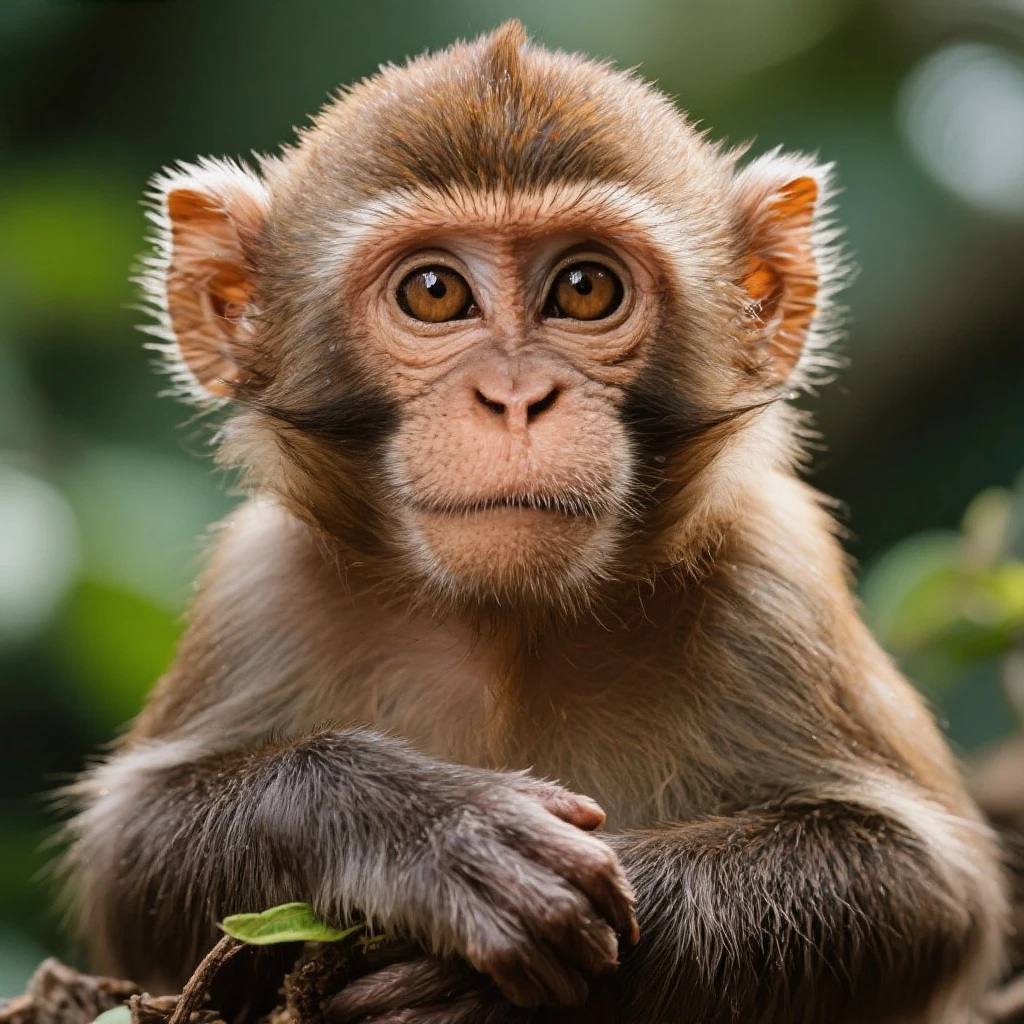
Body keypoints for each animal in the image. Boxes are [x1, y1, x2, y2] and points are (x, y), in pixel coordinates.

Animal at [62, 20, 1010, 1024]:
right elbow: (128, 863)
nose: (515, 399)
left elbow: (923, 888)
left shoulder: (775, 577)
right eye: (435, 292)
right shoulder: (262, 584)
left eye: (585, 288)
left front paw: (479, 986)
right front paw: (430, 827)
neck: (508, 623)